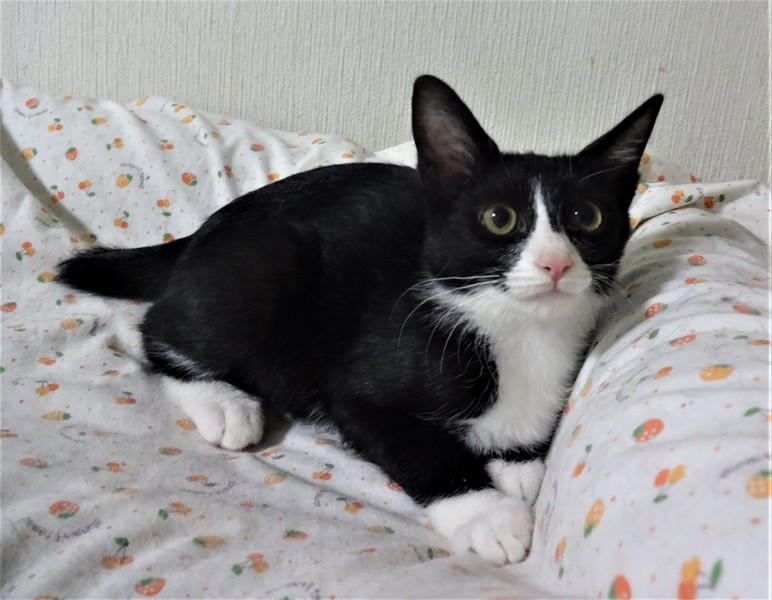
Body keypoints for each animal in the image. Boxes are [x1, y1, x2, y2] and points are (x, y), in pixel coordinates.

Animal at [57, 75, 663, 565]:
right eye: (499, 218)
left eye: (588, 216)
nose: (556, 263)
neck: (515, 331)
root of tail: (203, 230)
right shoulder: (360, 390)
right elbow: (421, 448)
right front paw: (488, 515)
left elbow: (524, 441)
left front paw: (515, 466)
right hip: (266, 264)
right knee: (157, 329)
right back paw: (225, 404)